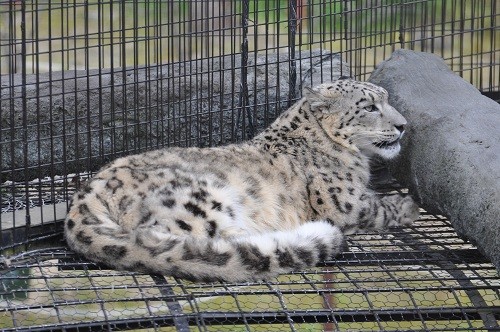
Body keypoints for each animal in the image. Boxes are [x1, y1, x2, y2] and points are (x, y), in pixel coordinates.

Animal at [64, 78, 420, 282]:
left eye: (387, 99)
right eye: (370, 107)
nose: (403, 125)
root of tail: (86, 193)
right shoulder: (343, 203)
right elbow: (376, 208)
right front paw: (407, 205)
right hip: (197, 201)